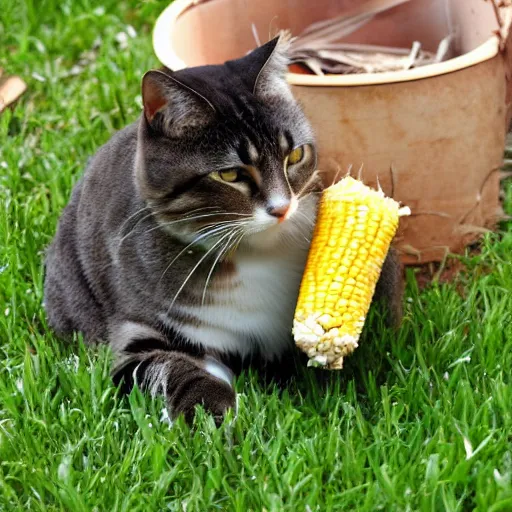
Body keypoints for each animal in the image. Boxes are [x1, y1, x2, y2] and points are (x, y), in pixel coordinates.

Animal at [44, 33, 404, 424]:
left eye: (295, 155)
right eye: (230, 174)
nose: (282, 208)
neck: (255, 255)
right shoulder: (134, 330)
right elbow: (166, 366)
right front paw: (211, 408)